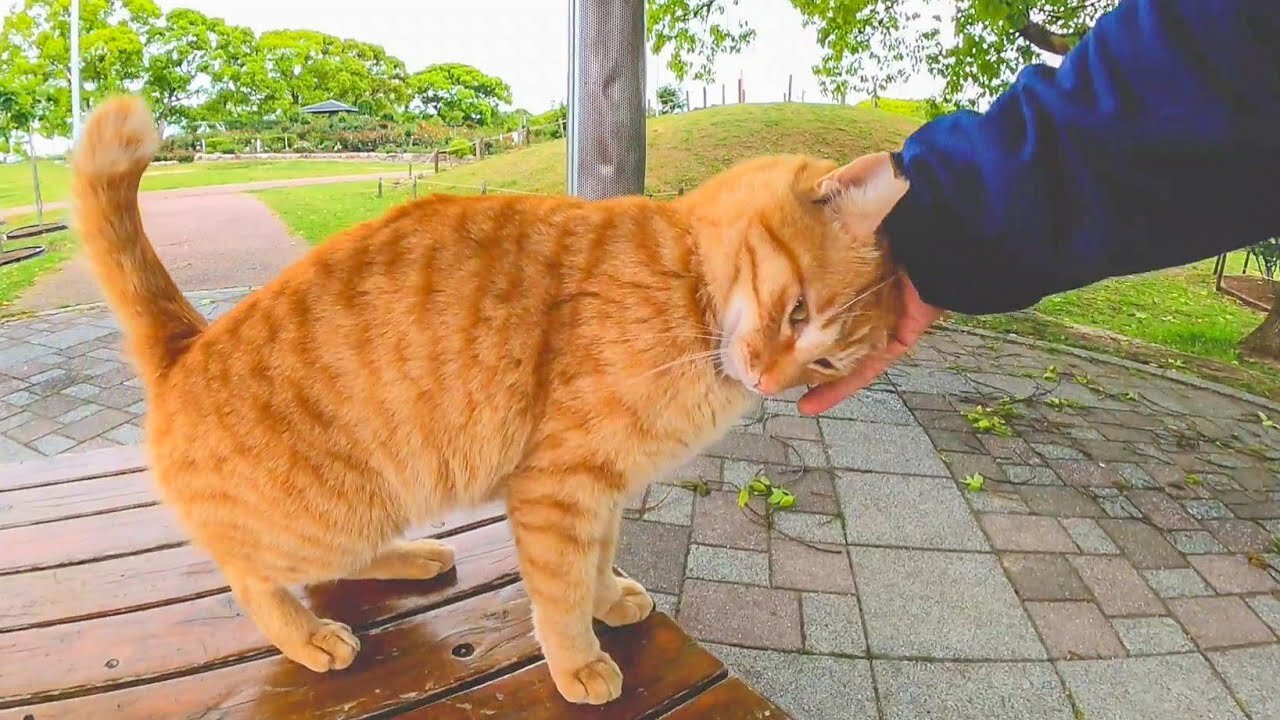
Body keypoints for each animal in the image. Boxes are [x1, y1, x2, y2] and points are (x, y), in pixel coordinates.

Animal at [72, 95, 901, 702]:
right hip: (329, 516)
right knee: (247, 574)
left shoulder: (602, 490)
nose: (771, 380)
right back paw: (306, 636)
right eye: (797, 311)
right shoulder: (560, 486)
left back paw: (413, 557)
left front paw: (608, 599)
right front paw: (579, 659)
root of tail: (188, 343)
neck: (685, 286)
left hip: (374, 506)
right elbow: (559, 592)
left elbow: (597, 563)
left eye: (826, 361)